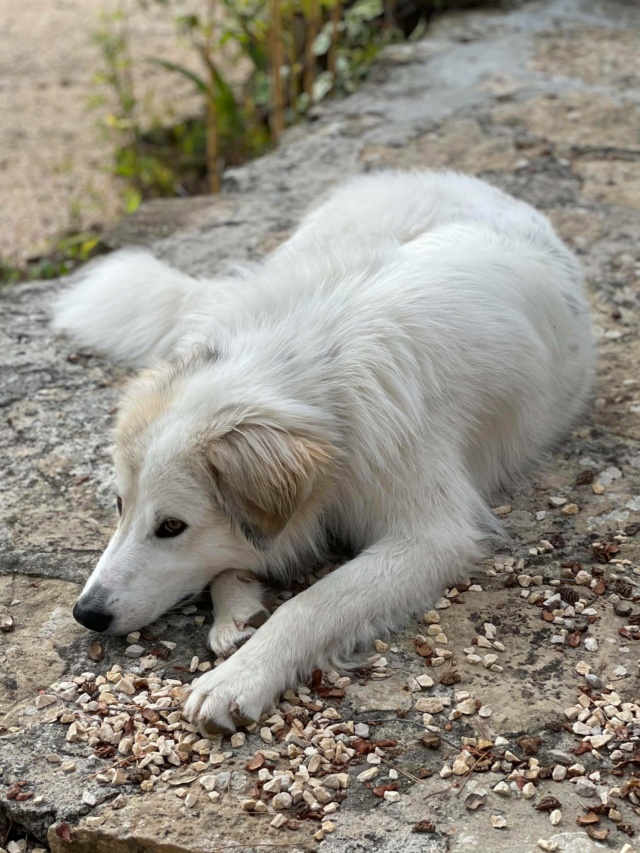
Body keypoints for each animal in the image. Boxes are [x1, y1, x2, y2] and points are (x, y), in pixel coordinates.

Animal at [53, 170, 596, 728]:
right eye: (120, 505)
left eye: (171, 527)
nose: (86, 614)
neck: (315, 371)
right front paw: (236, 609)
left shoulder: (430, 538)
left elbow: (313, 604)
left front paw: (239, 677)